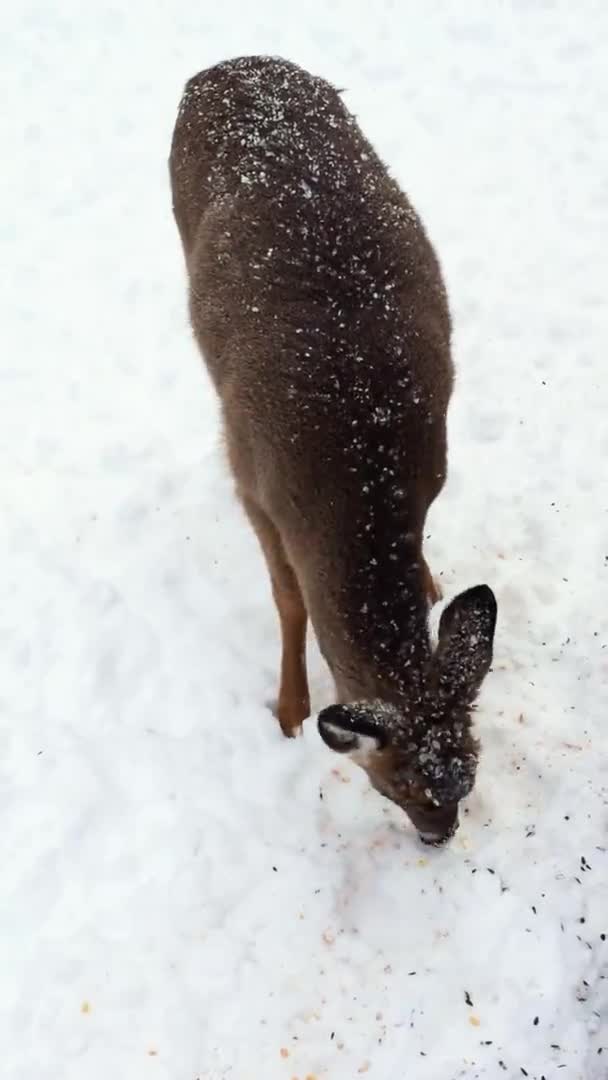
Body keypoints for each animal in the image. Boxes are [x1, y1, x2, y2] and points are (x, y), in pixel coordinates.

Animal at [168, 54, 496, 846]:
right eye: (395, 783)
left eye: (471, 770)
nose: (440, 838)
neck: (357, 476)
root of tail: (225, 65)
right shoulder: (255, 485)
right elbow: (290, 602)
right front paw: (288, 708)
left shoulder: (433, 470)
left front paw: (433, 582)